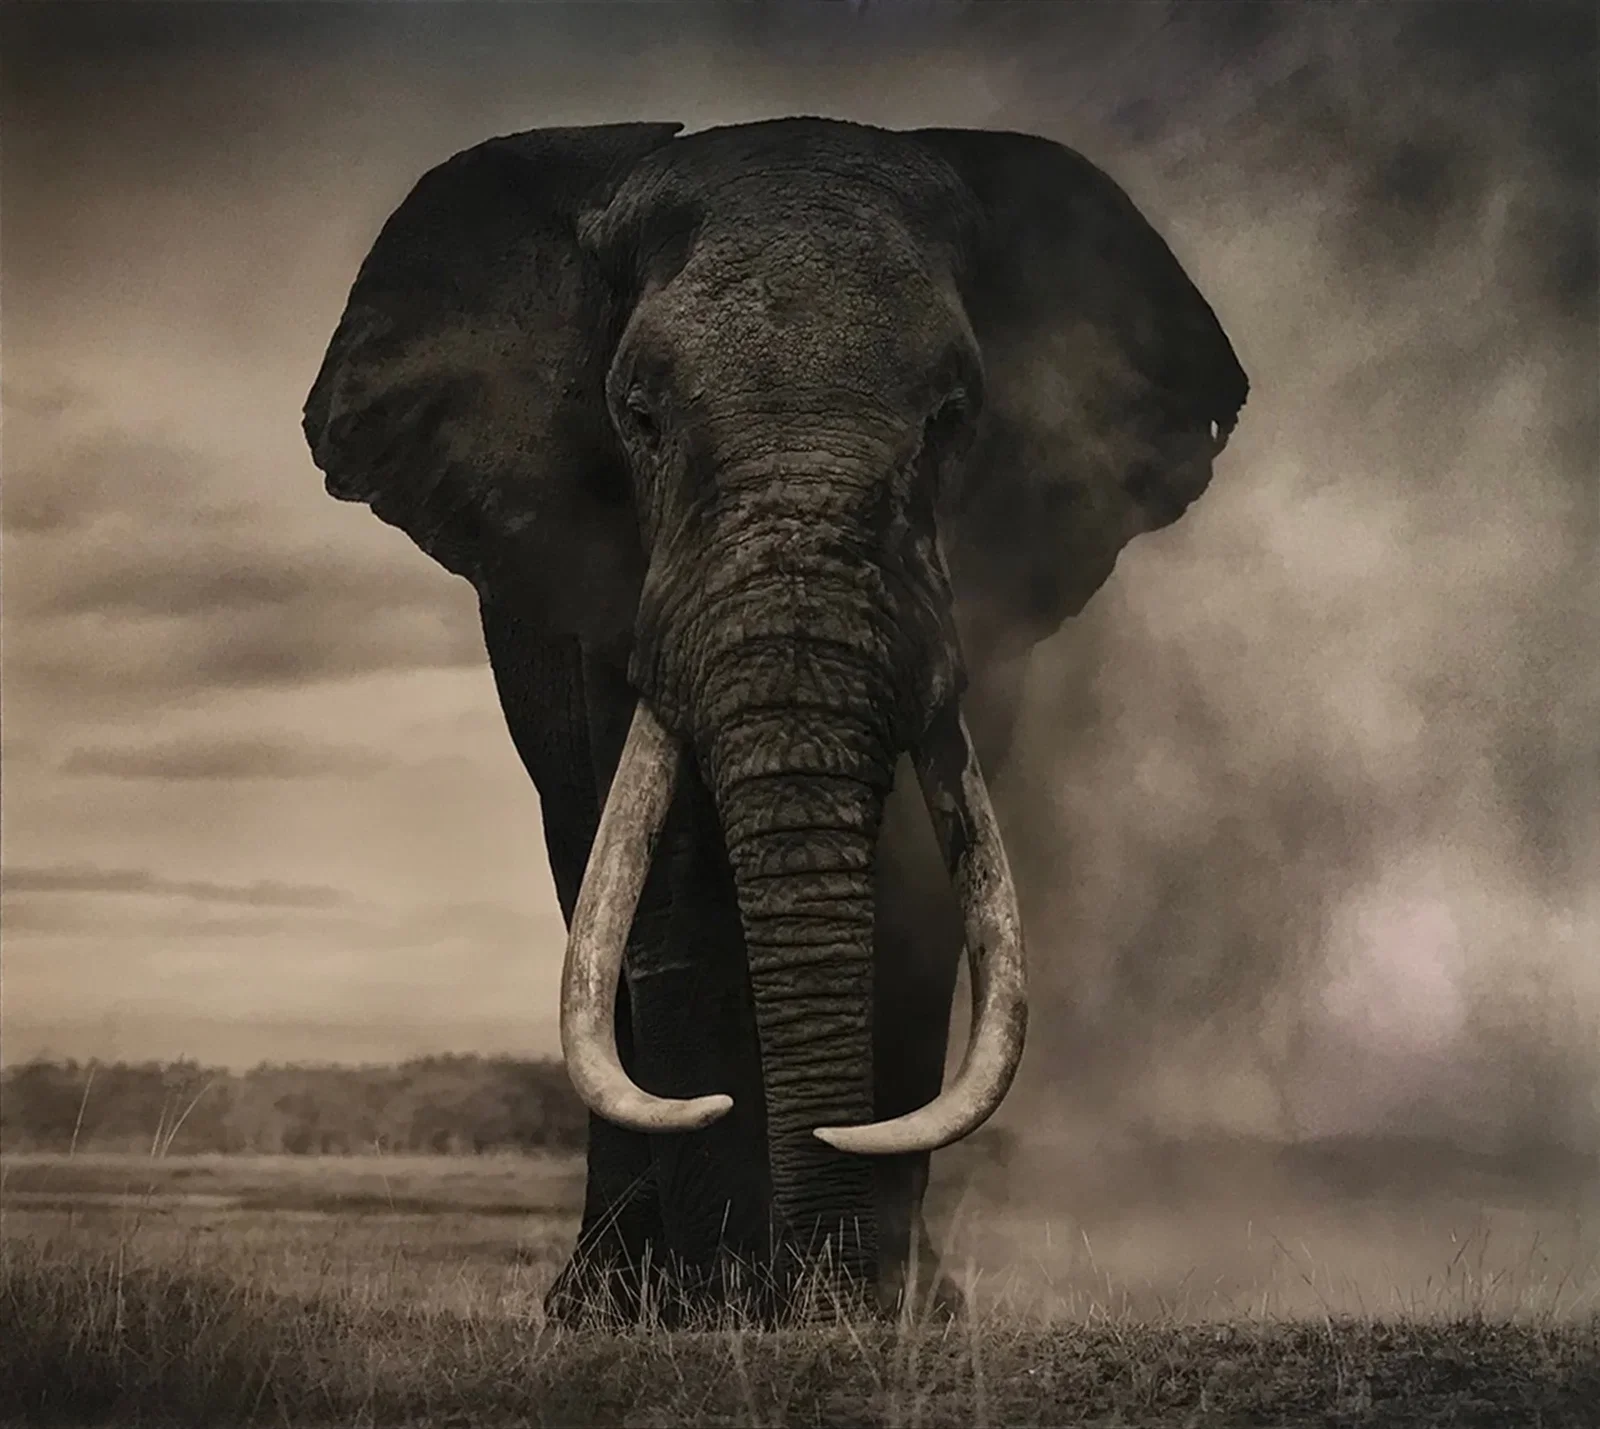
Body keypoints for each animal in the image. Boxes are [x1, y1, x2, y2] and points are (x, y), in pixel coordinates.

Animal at [303, 117, 1247, 1323]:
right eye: (639, 417)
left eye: (953, 419)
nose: (814, 1279)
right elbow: (664, 884)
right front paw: (716, 1310)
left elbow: (918, 884)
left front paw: (880, 1308)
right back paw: (606, 1302)